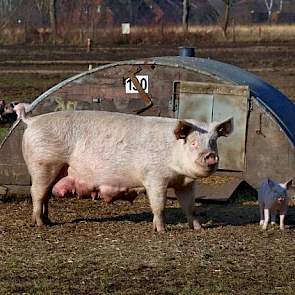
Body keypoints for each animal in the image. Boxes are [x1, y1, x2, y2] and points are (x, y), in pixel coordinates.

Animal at [20, 110, 234, 232]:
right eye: (193, 143)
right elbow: (159, 205)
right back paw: (39, 224)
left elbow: (190, 206)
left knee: (46, 196)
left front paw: (198, 229)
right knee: (36, 193)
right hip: (43, 164)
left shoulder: (186, 183)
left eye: (213, 142)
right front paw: (161, 230)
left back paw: (48, 221)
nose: (210, 156)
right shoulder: (154, 177)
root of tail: (32, 120)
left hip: (55, 170)